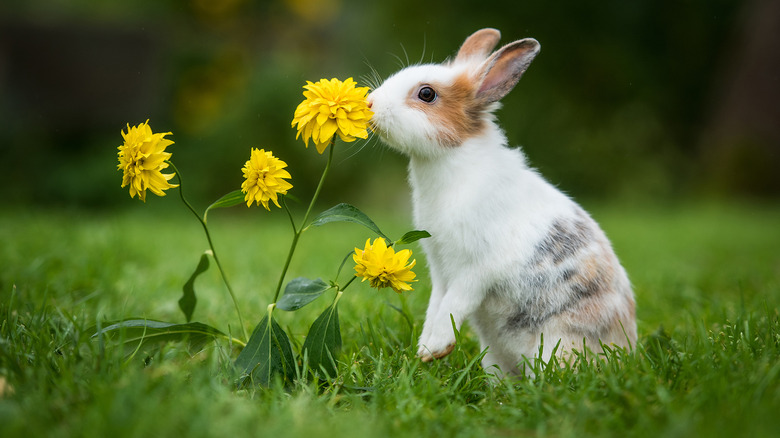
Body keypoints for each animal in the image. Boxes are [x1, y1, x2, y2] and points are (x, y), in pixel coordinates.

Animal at [368, 28, 636, 376]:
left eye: (426, 94)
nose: (370, 103)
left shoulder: (475, 269)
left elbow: (454, 304)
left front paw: (433, 349)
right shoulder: (440, 268)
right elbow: (436, 304)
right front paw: (426, 349)